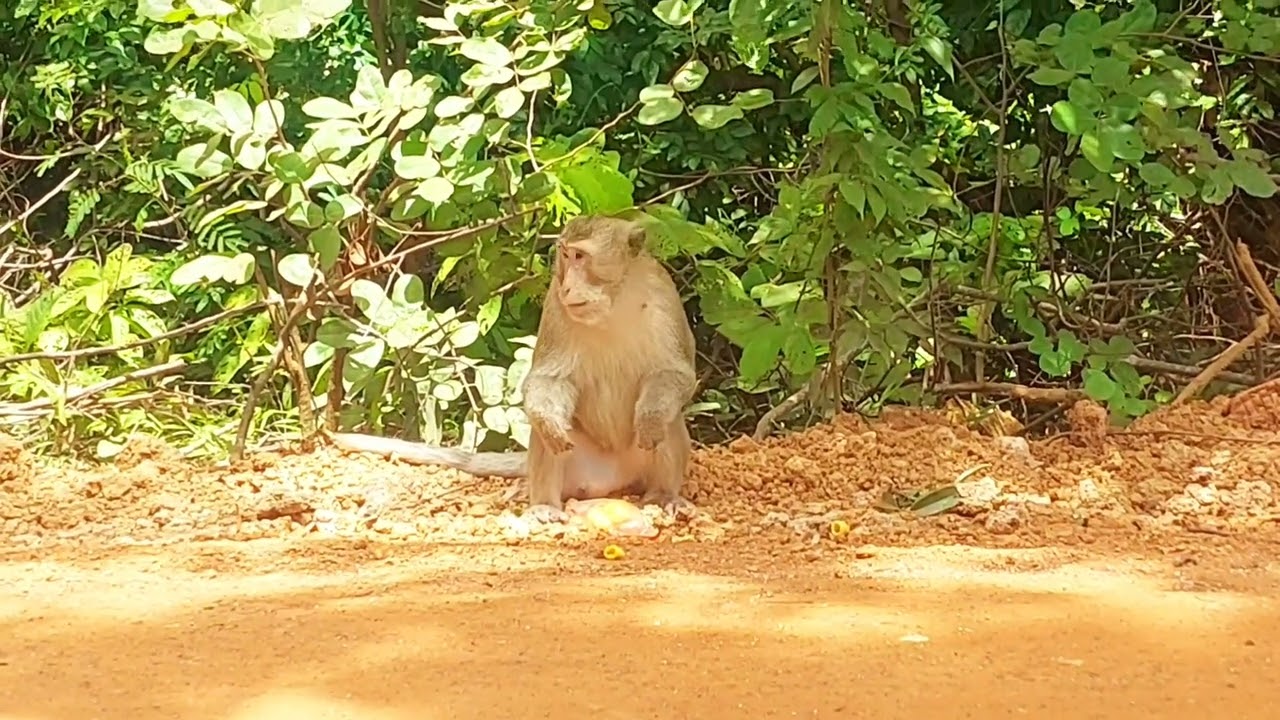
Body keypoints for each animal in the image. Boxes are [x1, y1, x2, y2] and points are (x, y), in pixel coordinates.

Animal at [327, 214, 699, 523]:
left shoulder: (663, 294)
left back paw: (663, 495)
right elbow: (548, 379)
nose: (568, 285)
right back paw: (544, 504)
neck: (612, 301)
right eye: (565, 256)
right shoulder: (556, 306)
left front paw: (650, 417)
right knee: (545, 440)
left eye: (580, 257)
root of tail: (616, 478)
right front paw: (549, 423)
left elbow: (676, 374)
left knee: (671, 421)